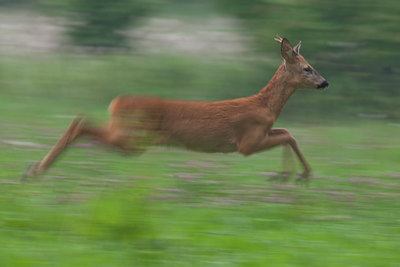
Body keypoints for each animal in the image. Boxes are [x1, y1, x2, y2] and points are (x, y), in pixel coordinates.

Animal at [23, 35, 328, 181]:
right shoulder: (247, 142)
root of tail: (116, 103)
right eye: (307, 68)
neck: (265, 106)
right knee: (81, 122)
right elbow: (288, 135)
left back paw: (34, 169)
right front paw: (300, 174)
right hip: (134, 138)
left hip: (131, 136)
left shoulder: (260, 133)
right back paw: (35, 171)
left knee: (81, 120)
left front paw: (285, 175)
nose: (325, 82)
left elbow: (287, 132)